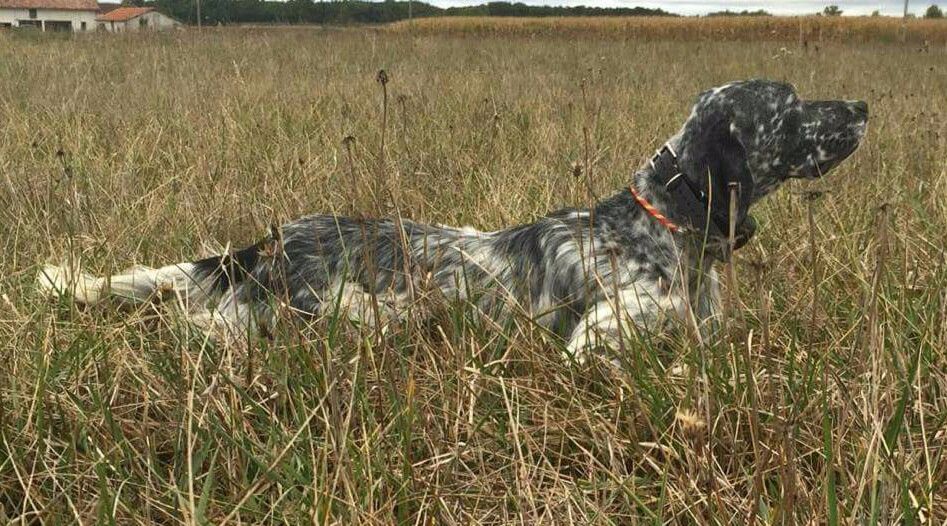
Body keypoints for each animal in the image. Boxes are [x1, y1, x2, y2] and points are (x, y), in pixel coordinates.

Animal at [35, 80, 868, 360]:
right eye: (788, 103)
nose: (861, 106)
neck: (660, 225)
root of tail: (269, 242)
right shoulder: (594, 341)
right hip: (359, 310)